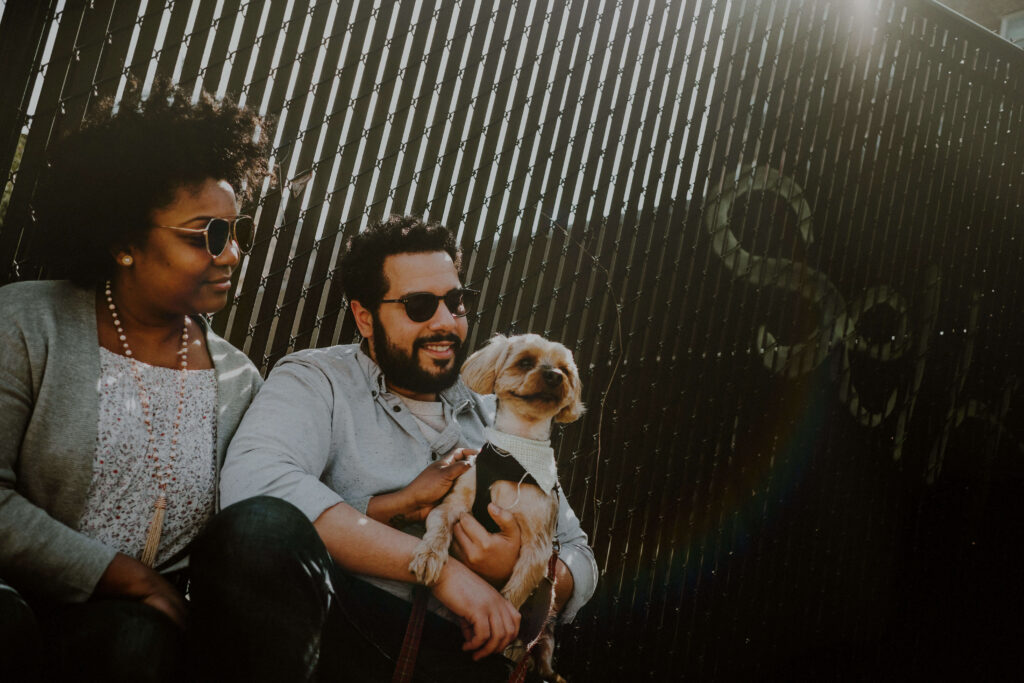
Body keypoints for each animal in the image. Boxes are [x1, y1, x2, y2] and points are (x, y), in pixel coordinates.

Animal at [407, 331, 585, 679]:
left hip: (546, 627)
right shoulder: (452, 504)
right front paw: (428, 557)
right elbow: (438, 526)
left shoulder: (539, 549)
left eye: (565, 370)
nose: (554, 376)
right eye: (526, 362)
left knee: (540, 653)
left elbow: (514, 592)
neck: (514, 459)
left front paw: (502, 618)